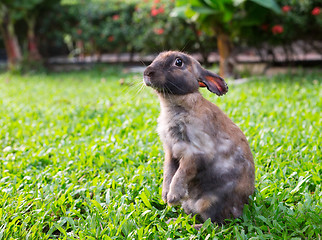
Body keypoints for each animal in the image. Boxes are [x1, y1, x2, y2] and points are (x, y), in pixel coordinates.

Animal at [143, 51, 254, 225]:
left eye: (179, 62)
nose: (147, 73)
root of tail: (241, 208)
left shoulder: (195, 152)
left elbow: (181, 173)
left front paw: (172, 197)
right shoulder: (170, 152)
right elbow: (168, 172)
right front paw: (165, 195)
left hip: (210, 203)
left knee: (213, 224)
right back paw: (173, 222)